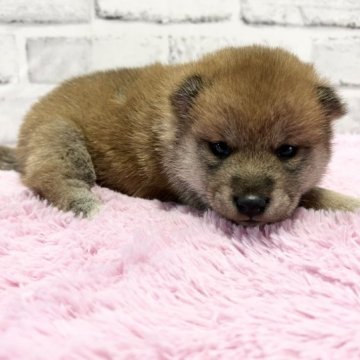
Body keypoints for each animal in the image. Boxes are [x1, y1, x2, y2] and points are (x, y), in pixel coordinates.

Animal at [0, 46, 360, 224]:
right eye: (220, 148)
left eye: (287, 150)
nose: (251, 203)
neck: (175, 131)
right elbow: (311, 198)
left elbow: (312, 193)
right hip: (61, 138)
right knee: (50, 178)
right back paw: (87, 206)